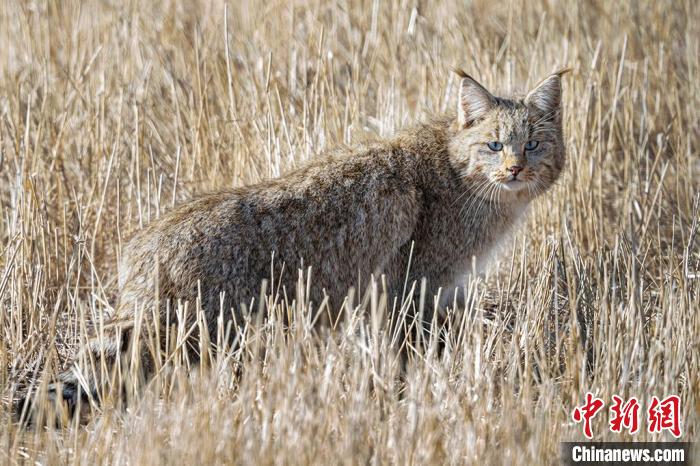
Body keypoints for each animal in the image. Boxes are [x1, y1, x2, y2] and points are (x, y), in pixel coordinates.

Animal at [24, 68, 568, 416]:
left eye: (534, 144)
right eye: (494, 145)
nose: (515, 169)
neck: (464, 175)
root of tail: (142, 244)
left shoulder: (426, 296)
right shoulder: (409, 292)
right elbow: (406, 359)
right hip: (205, 337)